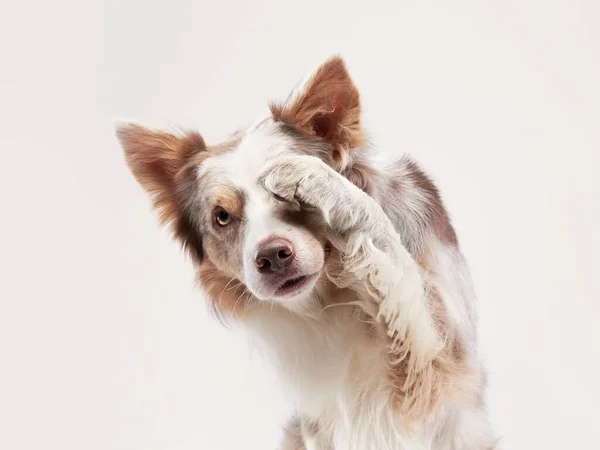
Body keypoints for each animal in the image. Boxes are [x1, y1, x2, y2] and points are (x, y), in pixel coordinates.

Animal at [115, 54, 494, 448]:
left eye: (286, 198)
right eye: (221, 216)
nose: (271, 257)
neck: (335, 299)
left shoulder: (443, 362)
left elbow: (385, 241)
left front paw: (319, 180)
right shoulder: (318, 422)